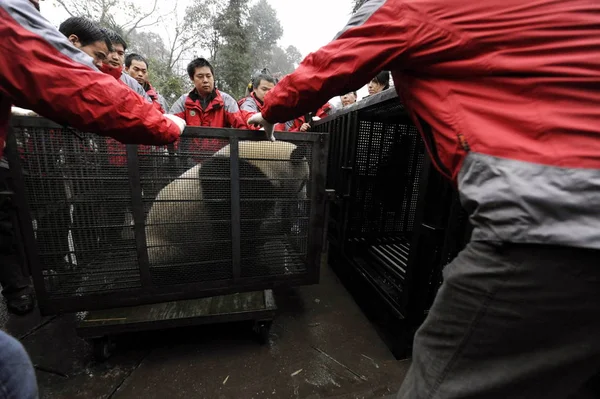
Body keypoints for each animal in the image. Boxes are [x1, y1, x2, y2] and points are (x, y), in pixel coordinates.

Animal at [144, 141, 310, 284]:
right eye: (304, 182)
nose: (305, 199)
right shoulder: (239, 181)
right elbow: (235, 227)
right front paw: (254, 267)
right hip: (167, 247)